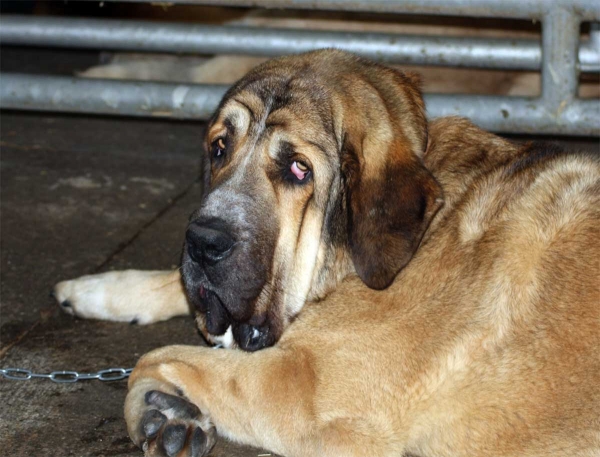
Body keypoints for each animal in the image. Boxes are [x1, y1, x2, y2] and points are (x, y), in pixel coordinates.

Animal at [54, 50, 596, 456]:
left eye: (298, 169)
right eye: (219, 147)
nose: (203, 241)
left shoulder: (303, 390)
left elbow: (155, 358)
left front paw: (159, 410)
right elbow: (173, 296)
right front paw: (101, 292)